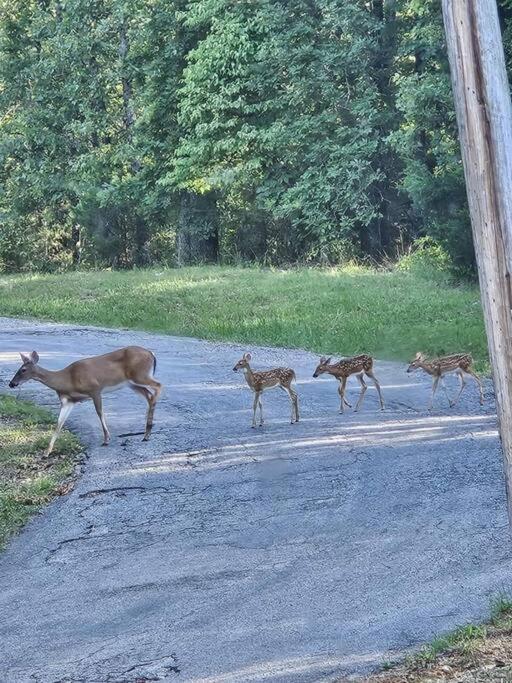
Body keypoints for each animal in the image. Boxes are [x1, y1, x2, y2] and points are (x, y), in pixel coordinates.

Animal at [9, 350, 163, 456]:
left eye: (23, 370)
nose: (11, 384)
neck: (66, 380)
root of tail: (151, 353)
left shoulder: (95, 389)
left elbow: (99, 412)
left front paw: (106, 439)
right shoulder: (68, 401)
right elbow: (59, 423)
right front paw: (46, 452)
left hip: (140, 375)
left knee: (158, 386)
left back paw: (148, 428)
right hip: (132, 383)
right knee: (149, 395)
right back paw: (147, 431)